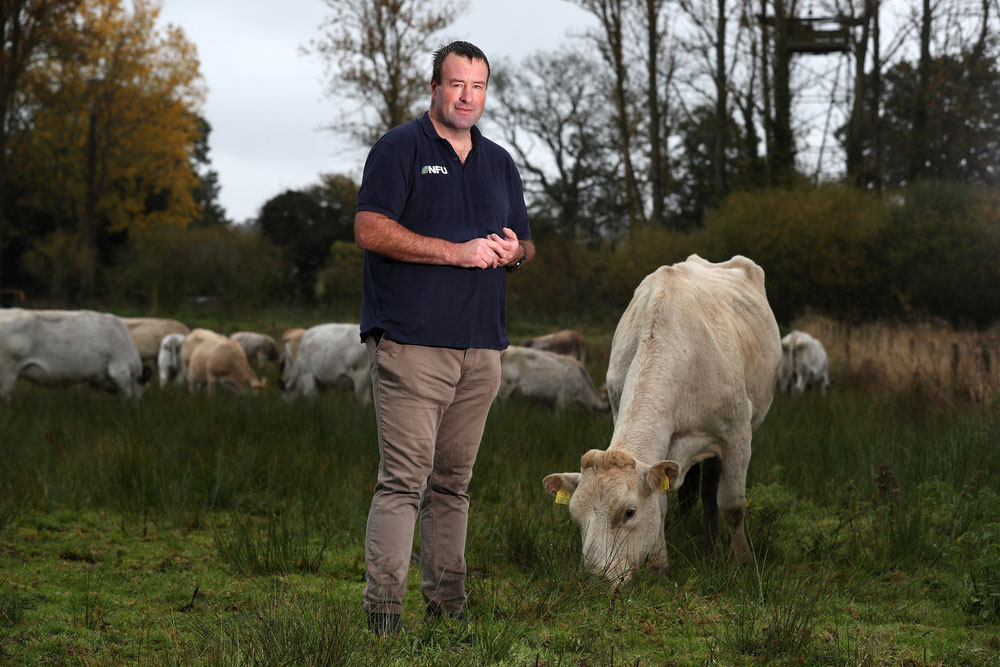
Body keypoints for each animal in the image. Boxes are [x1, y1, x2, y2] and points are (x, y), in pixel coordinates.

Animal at [0, 308, 152, 402]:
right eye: (143, 388)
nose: (136, 409)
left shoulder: (96, 378)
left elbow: (95, 399)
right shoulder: (120, 369)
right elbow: (127, 395)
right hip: (8, 371)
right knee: (6, 396)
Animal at [540, 256, 780, 584]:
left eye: (628, 513)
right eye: (576, 516)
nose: (596, 578)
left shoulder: (737, 436)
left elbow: (732, 506)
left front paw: (743, 562)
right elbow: (662, 504)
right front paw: (659, 564)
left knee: (711, 491)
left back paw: (711, 546)